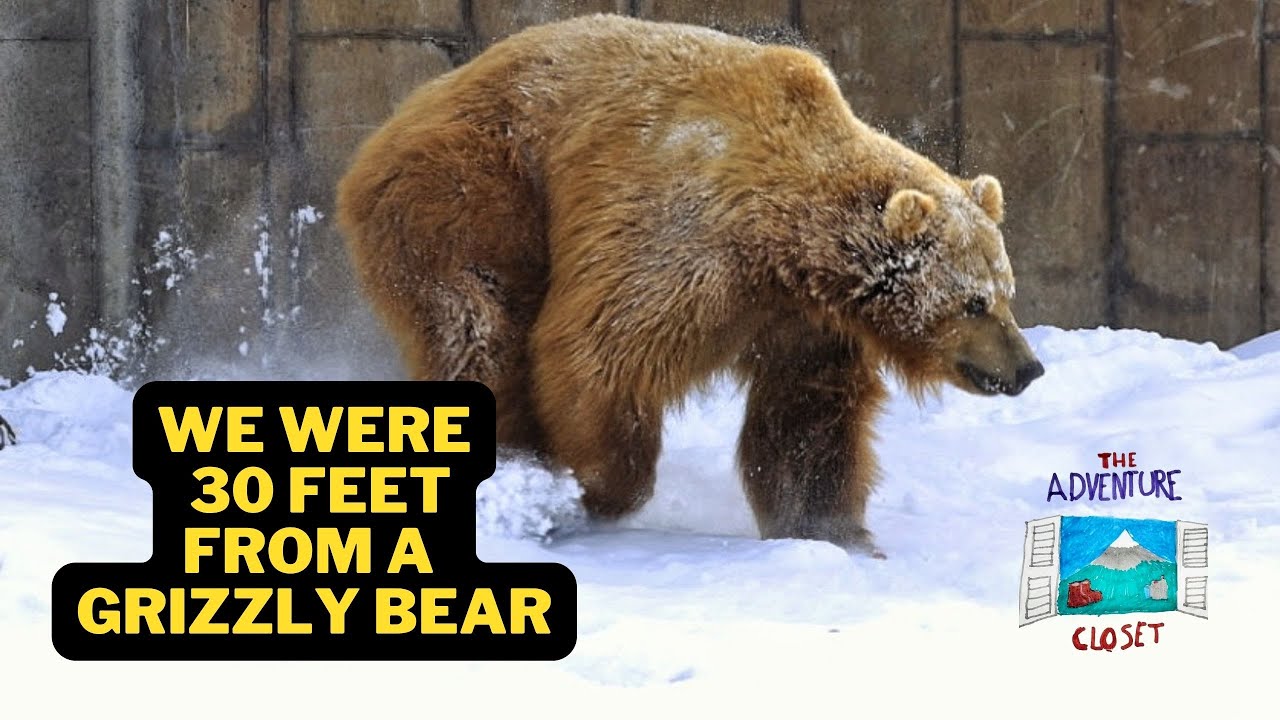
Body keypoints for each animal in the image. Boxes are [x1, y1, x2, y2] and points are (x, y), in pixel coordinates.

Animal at [335, 14, 1044, 557]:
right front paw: (596, 487)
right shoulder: (684, 243)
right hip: (474, 189)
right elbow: (599, 353)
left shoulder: (803, 319)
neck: (785, 241)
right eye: (974, 301)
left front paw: (832, 529)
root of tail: (410, 107)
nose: (1028, 366)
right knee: (481, 325)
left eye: (1007, 292)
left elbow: (807, 414)